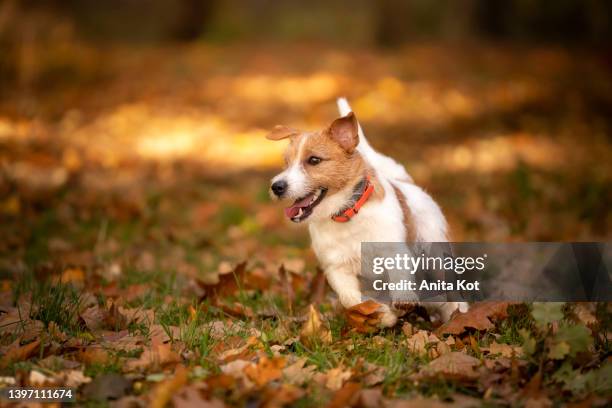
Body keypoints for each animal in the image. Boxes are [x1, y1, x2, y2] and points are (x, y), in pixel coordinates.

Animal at [268, 99, 468, 326]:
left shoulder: (394, 251)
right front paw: (382, 315)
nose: (276, 186)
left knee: (450, 291)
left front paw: (403, 299)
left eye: (314, 160)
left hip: (435, 255)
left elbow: (400, 275)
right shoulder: (337, 269)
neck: (347, 214)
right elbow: (352, 299)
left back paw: (458, 313)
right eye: (286, 163)